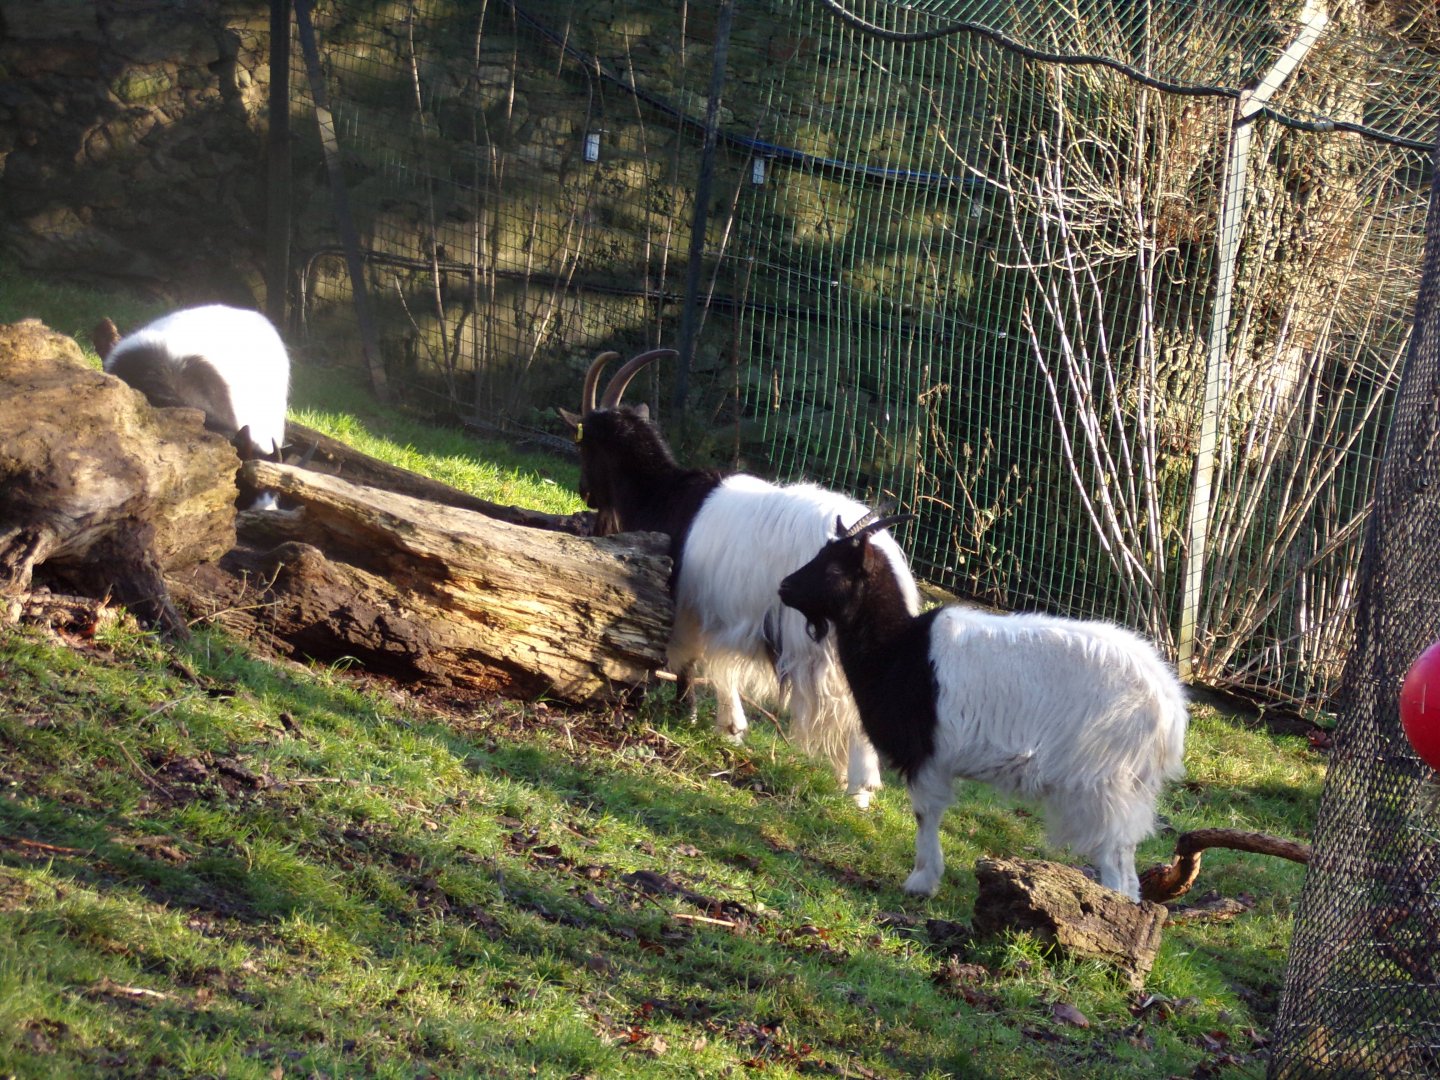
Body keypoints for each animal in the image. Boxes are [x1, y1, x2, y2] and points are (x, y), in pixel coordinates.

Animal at [558, 349, 919, 808]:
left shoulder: (684, 600)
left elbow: (684, 656)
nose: (584, 491)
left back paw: (859, 785)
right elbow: (719, 663)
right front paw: (731, 728)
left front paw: (686, 710)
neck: (664, 493)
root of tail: (877, 554)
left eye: (581, 442)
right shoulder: (719, 610)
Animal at [777, 512, 1189, 900]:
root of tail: (1170, 712)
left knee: (1116, 861)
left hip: (1104, 782)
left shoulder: (927, 756)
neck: (897, 646)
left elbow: (925, 814)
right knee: (1127, 864)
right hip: (1129, 786)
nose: (784, 588)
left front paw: (921, 881)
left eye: (834, 568)